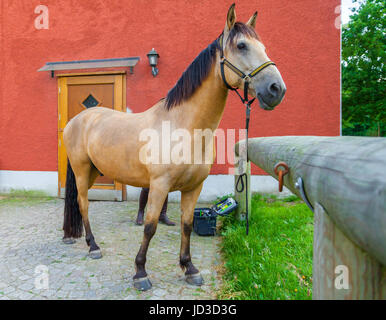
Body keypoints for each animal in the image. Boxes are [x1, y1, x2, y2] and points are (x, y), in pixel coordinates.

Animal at [62, 3, 286, 292]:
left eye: (264, 47)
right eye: (242, 45)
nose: (276, 89)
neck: (184, 127)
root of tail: (77, 120)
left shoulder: (193, 188)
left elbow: (187, 225)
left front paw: (189, 268)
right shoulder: (159, 186)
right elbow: (149, 227)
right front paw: (140, 272)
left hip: (92, 172)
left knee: (80, 204)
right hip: (81, 171)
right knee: (83, 203)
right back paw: (93, 246)